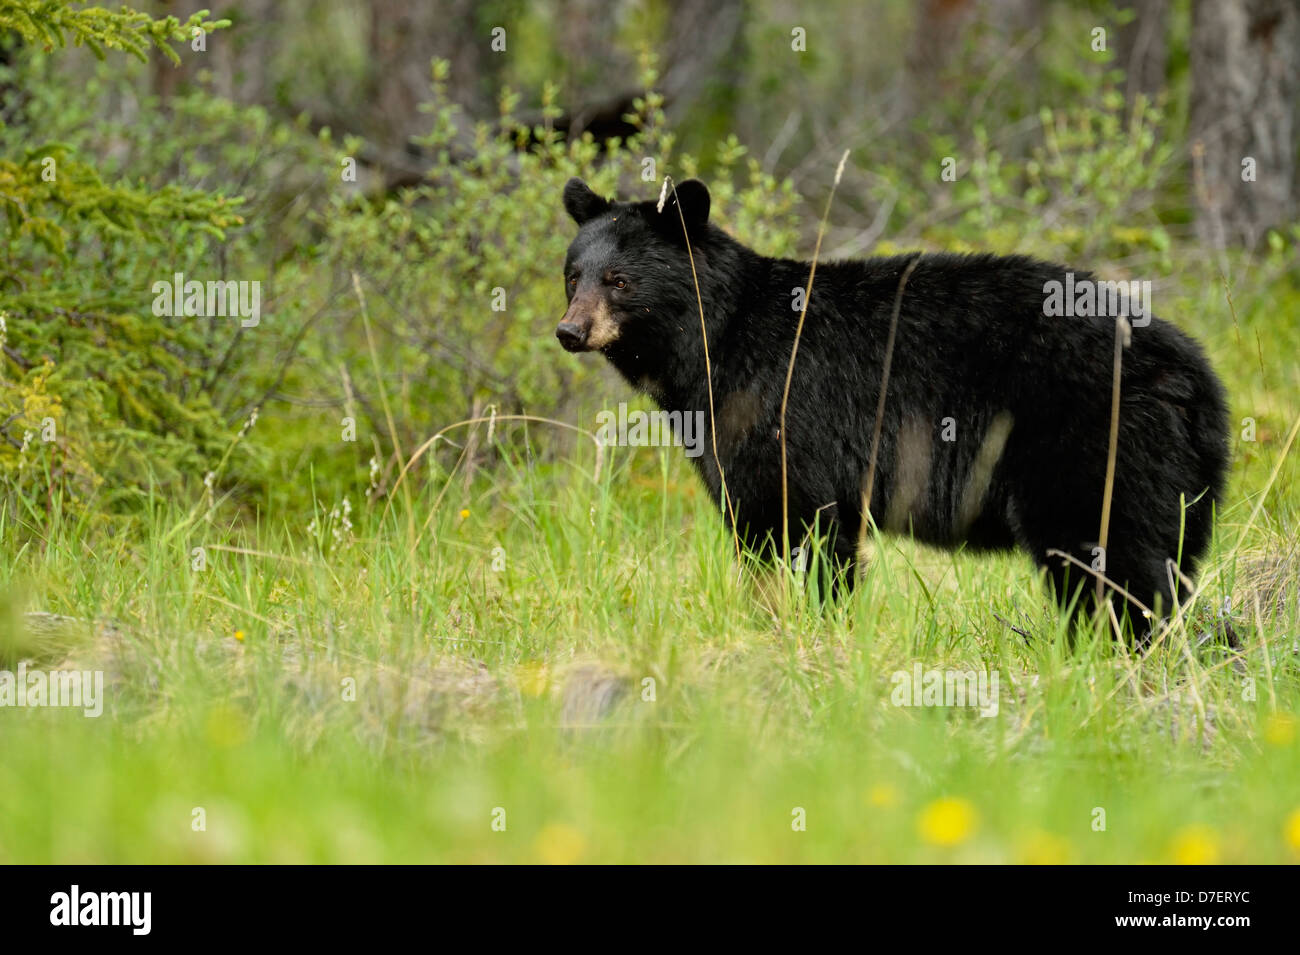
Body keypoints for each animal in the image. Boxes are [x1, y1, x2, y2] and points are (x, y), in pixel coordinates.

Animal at [556, 178, 1227, 634]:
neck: (715, 341)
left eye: (619, 280)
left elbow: (800, 525)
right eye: (572, 275)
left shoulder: (784, 413)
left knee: (1112, 560)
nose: (569, 331)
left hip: (1091, 445)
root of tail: (1193, 371)